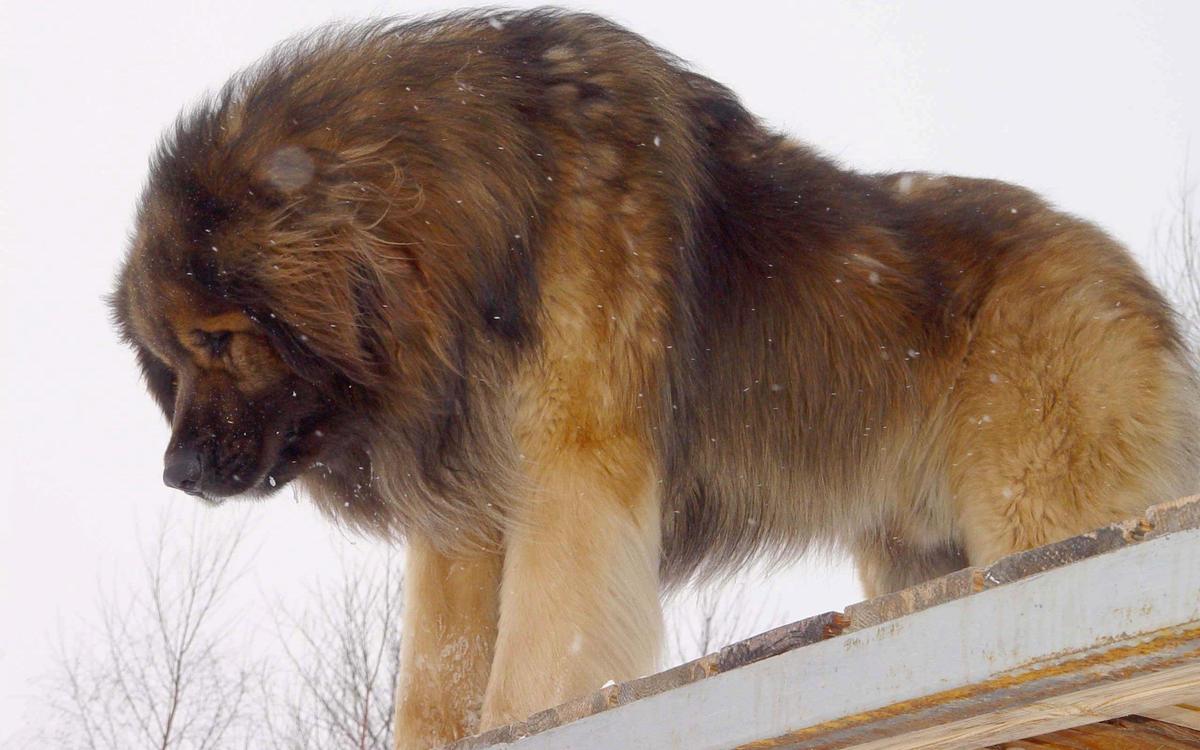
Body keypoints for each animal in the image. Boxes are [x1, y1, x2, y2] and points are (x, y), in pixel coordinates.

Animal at [112, 8, 1200, 744]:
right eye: (167, 360)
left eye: (217, 340)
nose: (175, 474)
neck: (470, 223)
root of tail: (1122, 272)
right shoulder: (463, 527)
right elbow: (435, 686)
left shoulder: (571, 482)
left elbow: (528, 676)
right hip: (917, 557)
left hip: (1041, 516)